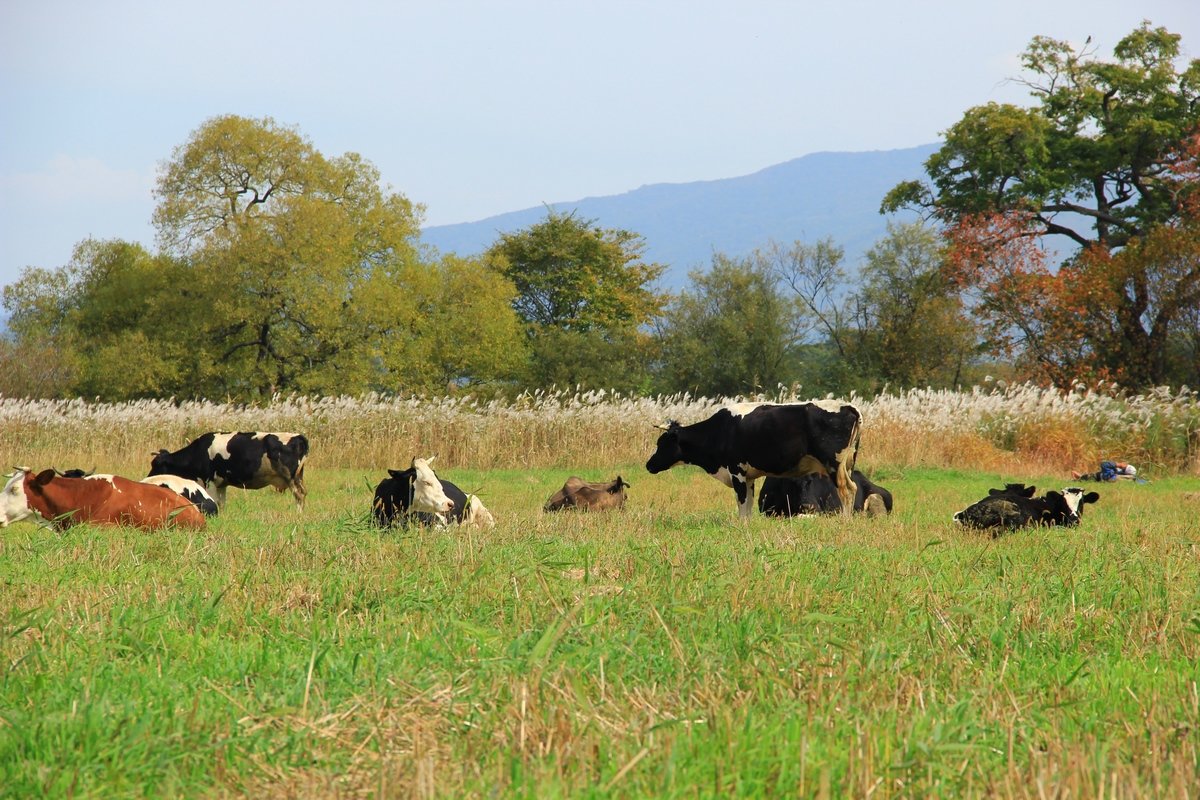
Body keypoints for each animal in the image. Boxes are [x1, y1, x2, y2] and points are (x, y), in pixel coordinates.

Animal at [147, 434, 309, 510]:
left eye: (156, 464)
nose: (147, 478)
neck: (198, 452)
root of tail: (298, 436)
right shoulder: (221, 484)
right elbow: (221, 503)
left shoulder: (210, 482)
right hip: (298, 478)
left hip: (290, 478)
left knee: (299, 496)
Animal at [648, 400, 864, 520]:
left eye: (662, 443)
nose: (648, 464)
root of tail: (848, 406)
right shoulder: (749, 476)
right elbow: (749, 504)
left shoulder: (737, 472)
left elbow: (742, 503)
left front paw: (742, 526)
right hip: (846, 465)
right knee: (853, 488)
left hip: (833, 464)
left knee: (846, 491)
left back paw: (845, 521)